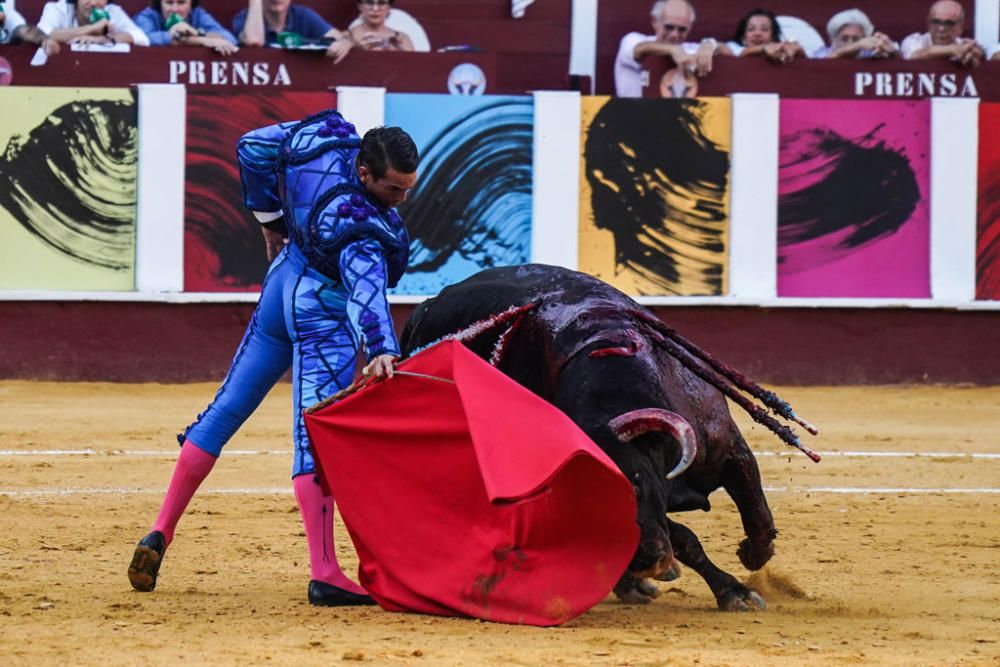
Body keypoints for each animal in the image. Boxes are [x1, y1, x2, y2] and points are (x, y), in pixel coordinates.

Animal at [396, 264, 812, 612]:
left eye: (637, 482)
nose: (646, 561)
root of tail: (426, 308)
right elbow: (685, 538)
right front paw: (728, 589)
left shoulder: (729, 450)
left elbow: (756, 510)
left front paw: (752, 562)